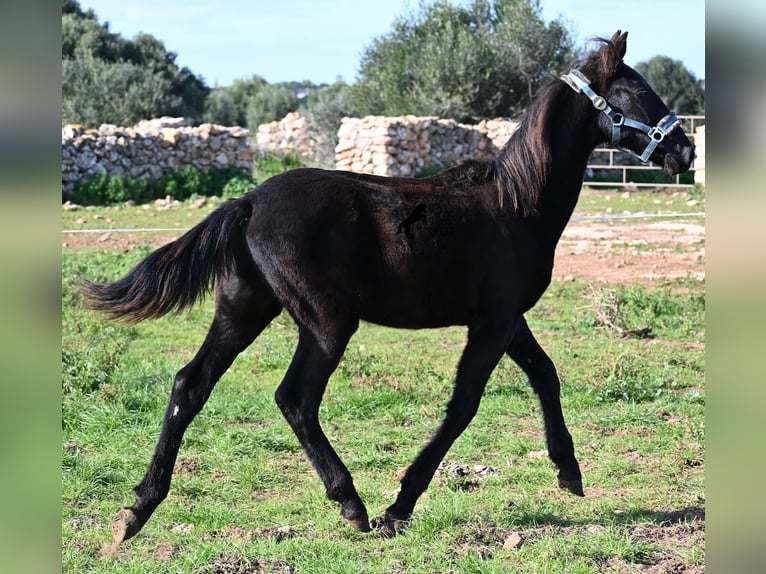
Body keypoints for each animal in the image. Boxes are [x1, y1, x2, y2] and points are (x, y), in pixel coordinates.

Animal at [82, 31, 696, 544]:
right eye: (638, 91)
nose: (685, 151)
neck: (516, 204)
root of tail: (250, 200)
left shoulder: (506, 320)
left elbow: (545, 374)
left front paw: (568, 471)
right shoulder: (492, 324)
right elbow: (464, 405)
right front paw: (400, 505)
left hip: (245, 307)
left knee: (190, 385)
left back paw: (136, 511)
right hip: (326, 323)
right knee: (294, 398)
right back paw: (351, 504)